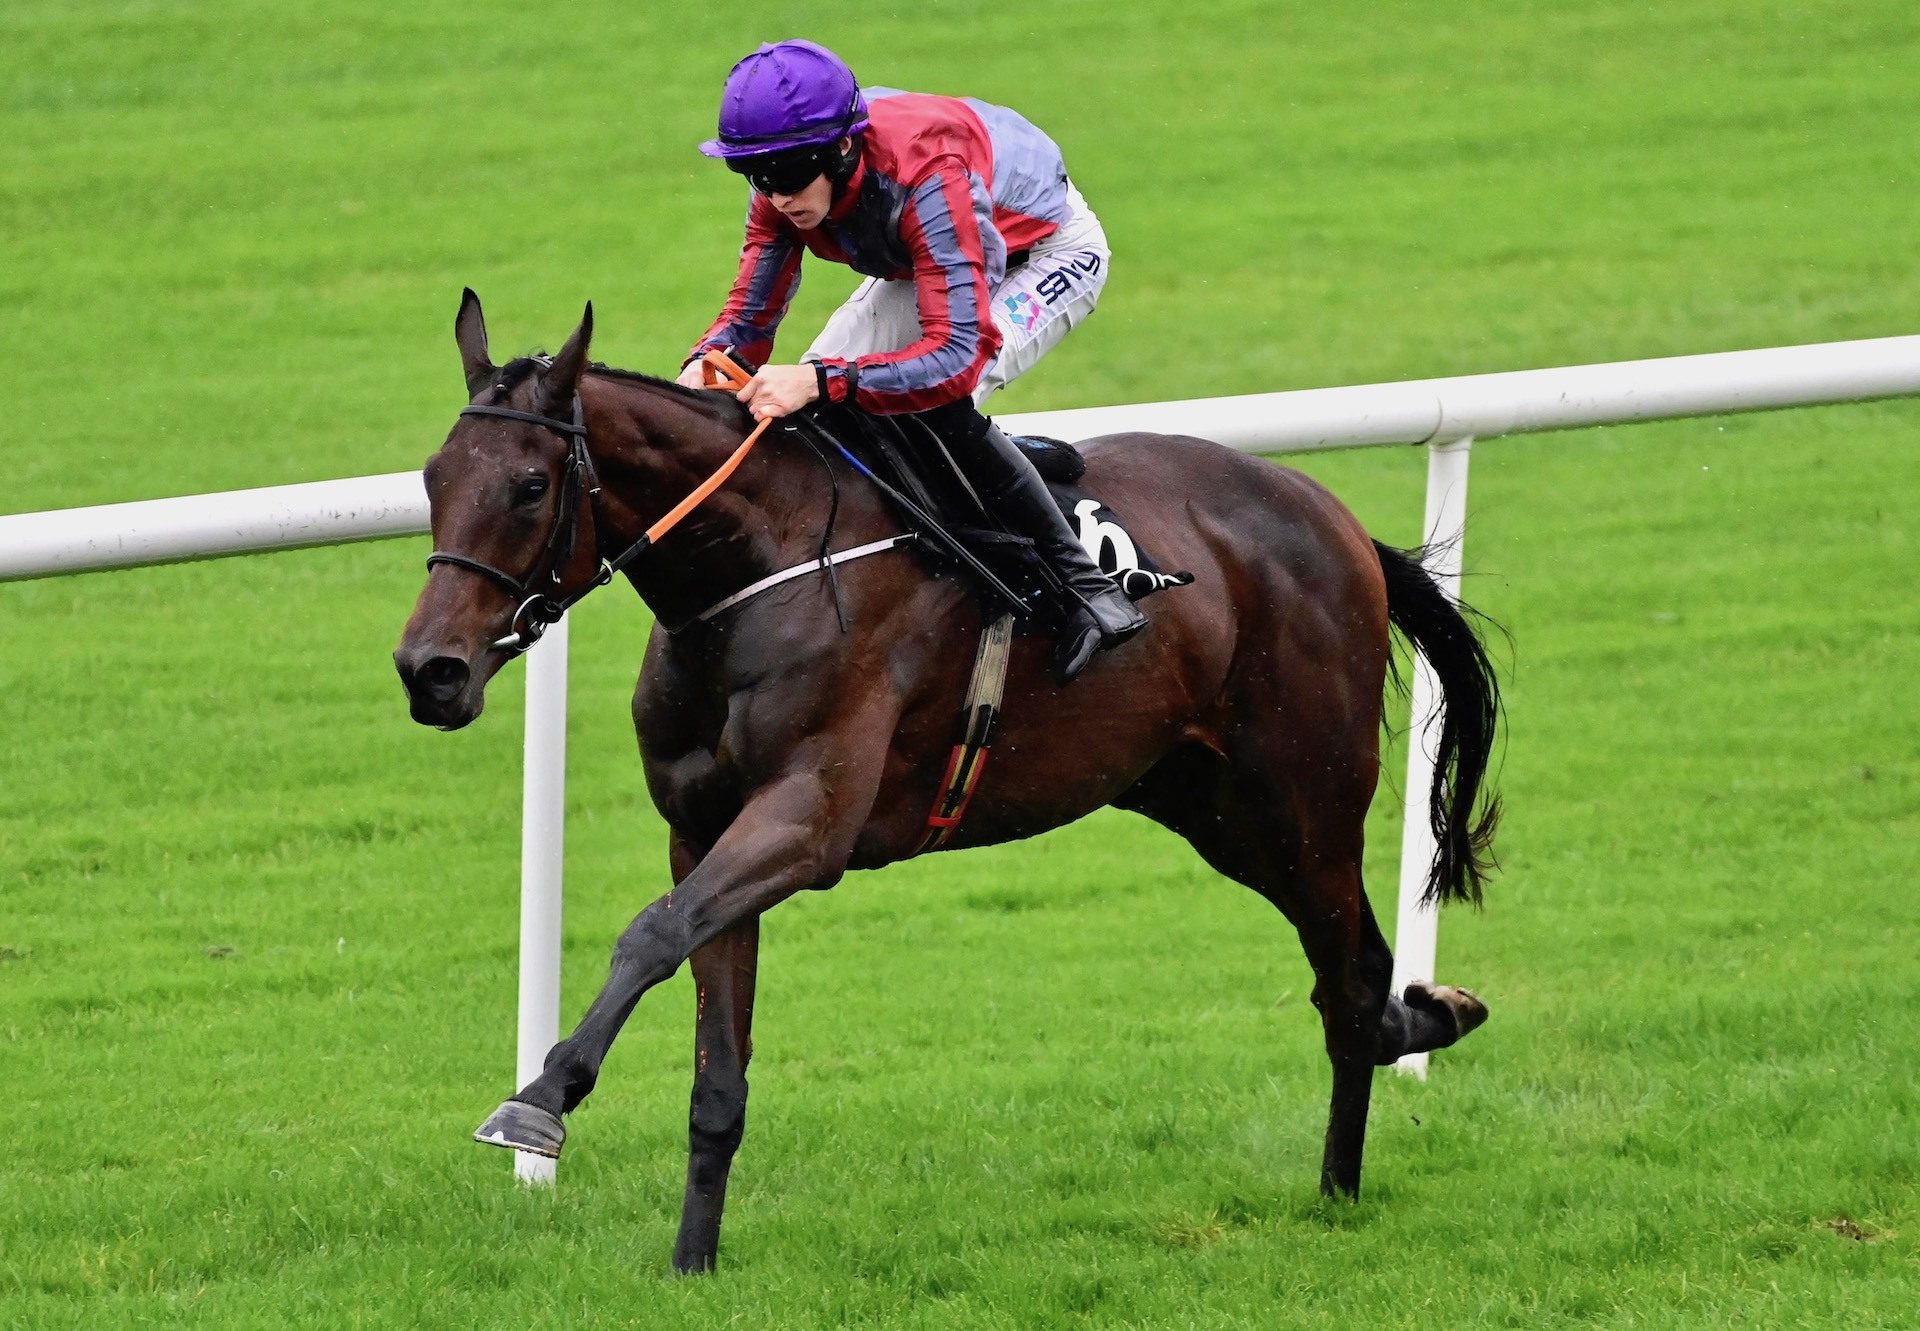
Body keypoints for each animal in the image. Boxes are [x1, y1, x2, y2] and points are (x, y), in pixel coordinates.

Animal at [389, 295, 1497, 1275]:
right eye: (434, 476)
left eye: (531, 486)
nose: (428, 670)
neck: (759, 563)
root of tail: (1339, 522)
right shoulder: (700, 831)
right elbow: (715, 1068)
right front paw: (690, 1261)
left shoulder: (807, 821)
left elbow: (651, 933)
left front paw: (539, 1096)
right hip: (1208, 804)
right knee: (1349, 970)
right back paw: (1422, 1026)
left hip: (1301, 800)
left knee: (1348, 971)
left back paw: (1342, 1180)